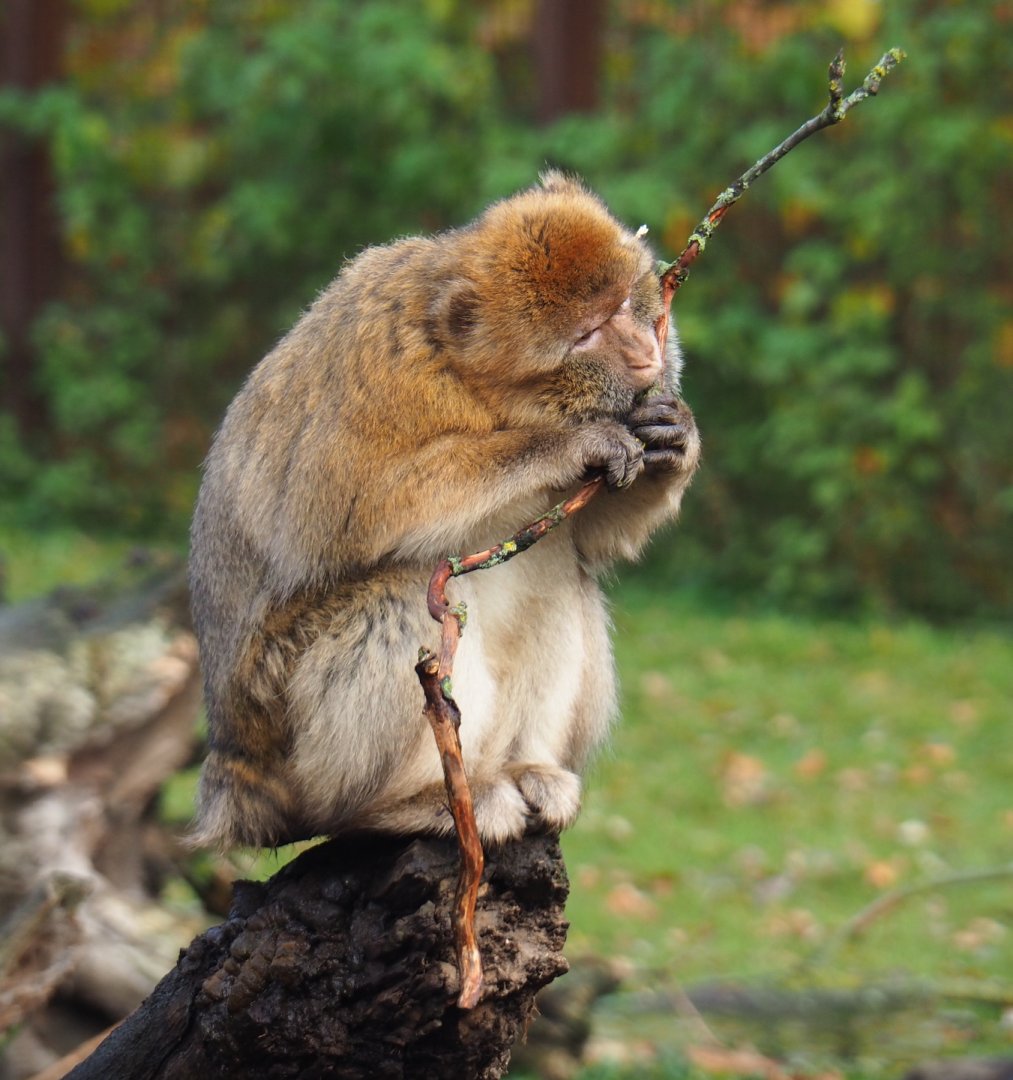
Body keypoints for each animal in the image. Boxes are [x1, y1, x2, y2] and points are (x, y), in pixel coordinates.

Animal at [188, 171, 700, 851]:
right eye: (587, 334)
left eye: (622, 306)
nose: (647, 353)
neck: (484, 389)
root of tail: (234, 764)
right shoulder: (385, 369)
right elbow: (362, 501)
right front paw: (569, 443)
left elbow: (590, 535)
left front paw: (674, 437)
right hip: (287, 731)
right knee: (398, 591)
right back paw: (409, 804)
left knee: (561, 570)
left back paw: (528, 768)